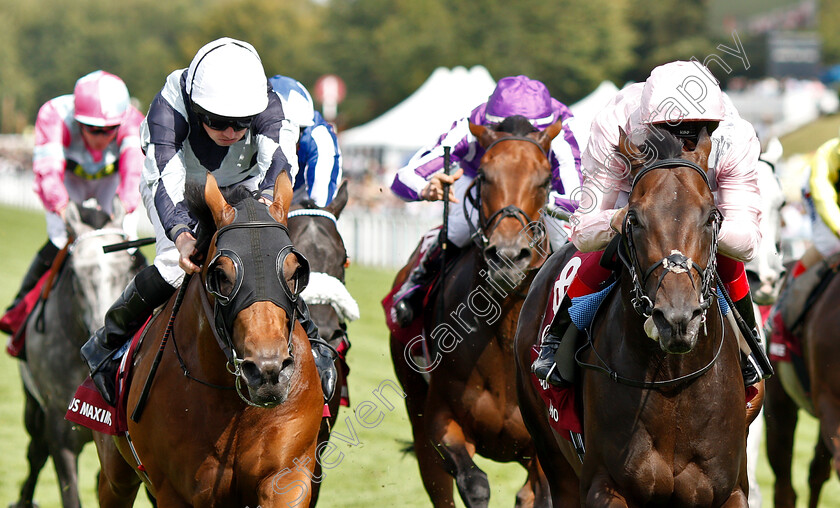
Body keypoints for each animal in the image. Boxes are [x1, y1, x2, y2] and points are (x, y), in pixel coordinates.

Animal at [93, 172, 324, 508]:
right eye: (221, 275)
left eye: (295, 271)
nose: (268, 370)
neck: (235, 405)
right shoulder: (176, 492)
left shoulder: (288, 475)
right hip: (115, 476)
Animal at [388, 116, 564, 508]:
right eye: (483, 175)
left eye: (546, 180)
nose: (509, 255)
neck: (505, 340)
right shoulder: (440, 419)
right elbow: (474, 483)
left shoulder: (545, 450)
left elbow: (544, 493)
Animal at [516, 127, 752, 508]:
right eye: (635, 219)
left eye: (709, 217)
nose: (676, 318)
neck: (672, 382)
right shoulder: (604, 485)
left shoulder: (730, 491)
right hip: (555, 461)